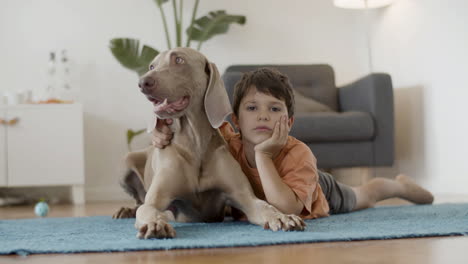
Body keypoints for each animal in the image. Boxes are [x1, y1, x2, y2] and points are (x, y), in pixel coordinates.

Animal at [113, 47, 304, 239]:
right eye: (152, 66)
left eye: (179, 60)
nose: (143, 82)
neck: (195, 142)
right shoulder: (157, 199)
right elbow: (148, 209)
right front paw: (155, 223)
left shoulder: (245, 197)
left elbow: (266, 206)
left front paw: (283, 217)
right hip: (125, 162)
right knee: (139, 202)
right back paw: (126, 210)